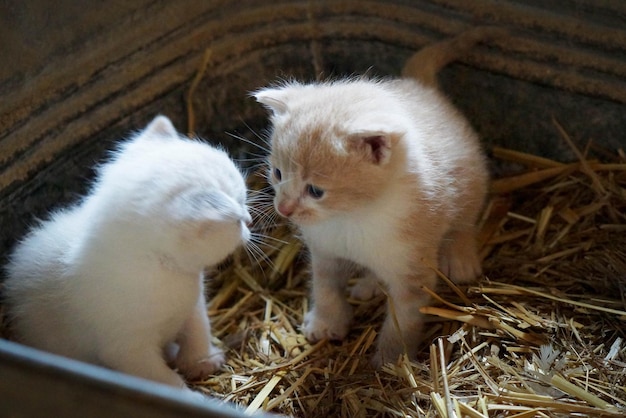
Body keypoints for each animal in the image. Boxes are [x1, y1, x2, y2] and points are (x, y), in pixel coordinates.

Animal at [4, 116, 251, 394]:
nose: (249, 220)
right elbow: (160, 379)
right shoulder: (127, 349)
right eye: (238, 219)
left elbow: (199, 329)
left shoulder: (193, 305)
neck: (162, 270)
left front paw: (202, 360)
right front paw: (191, 395)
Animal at [252, 29, 492, 368]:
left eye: (316, 191)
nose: (284, 209)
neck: (352, 216)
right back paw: (368, 284)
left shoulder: (412, 267)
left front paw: (391, 360)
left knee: (465, 219)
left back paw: (460, 259)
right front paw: (326, 321)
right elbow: (325, 286)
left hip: (471, 179)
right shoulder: (324, 250)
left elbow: (403, 318)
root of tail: (420, 86)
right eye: (276, 173)